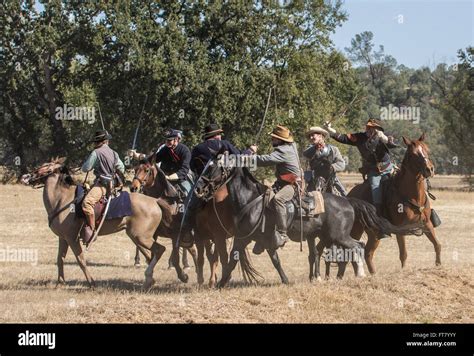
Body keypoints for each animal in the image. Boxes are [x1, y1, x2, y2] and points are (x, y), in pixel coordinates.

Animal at [19, 158, 185, 290]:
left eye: (45, 166)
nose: (26, 176)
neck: (62, 199)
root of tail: (155, 201)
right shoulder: (63, 238)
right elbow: (60, 259)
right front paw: (60, 283)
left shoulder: (72, 238)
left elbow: (81, 260)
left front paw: (91, 282)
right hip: (139, 236)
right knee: (154, 253)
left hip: (141, 236)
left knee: (160, 250)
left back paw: (155, 277)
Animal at [130, 160, 256, 288]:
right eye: (135, 169)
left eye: (147, 170)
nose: (134, 187)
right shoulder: (154, 234)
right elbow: (147, 250)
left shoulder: (177, 234)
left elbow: (176, 257)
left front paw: (183, 276)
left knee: (213, 256)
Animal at [193, 159, 422, 290]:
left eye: (214, 168)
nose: (198, 188)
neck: (251, 201)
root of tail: (348, 201)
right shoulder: (262, 241)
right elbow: (275, 261)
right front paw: (285, 280)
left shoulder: (244, 239)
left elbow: (232, 261)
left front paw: (220, 284)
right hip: (328, 237)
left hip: (339, 236)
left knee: (357, 246)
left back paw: (359, 274)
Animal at [346, 132, 438, 274]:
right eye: (413, 154)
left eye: (427, 150)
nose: (430, 169)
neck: (412, 195)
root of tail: (350, 195)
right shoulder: (401, 229)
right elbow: (403, 253)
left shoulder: (427, 224)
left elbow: (437, 245)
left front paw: (439, 265)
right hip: (356, 229)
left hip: (373, 233)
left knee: (368, 253)